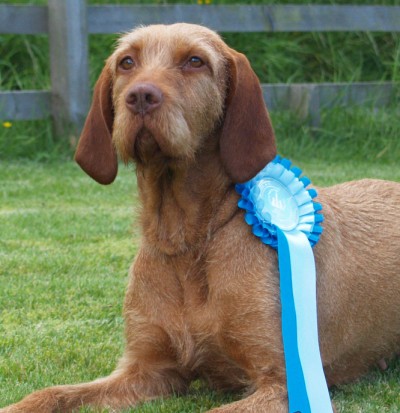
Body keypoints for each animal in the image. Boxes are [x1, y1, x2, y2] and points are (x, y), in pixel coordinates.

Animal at [1, 23, 398, 412]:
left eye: (195, 61)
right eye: (127, 62)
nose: (140, 96)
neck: (185, 240)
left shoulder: (282, 383)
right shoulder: (146, 370)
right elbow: (51, 393)